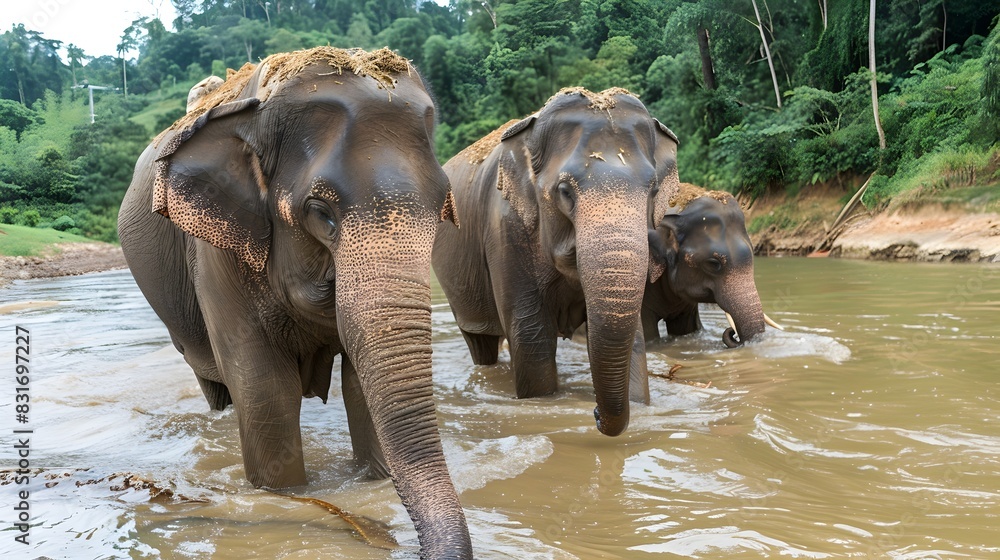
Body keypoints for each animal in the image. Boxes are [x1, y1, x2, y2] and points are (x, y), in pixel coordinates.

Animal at [117, 47, 471, 559]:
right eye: (320, 212)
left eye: (442, 202)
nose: (401, 545)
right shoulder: (214, 252)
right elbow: (266, 390)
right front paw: (285, 496)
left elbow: (360, 388)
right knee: (220, 391)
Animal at [433, 87, 681, 434]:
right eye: (564, 190)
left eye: (654, 189)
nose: (594, 413)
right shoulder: (505, 228)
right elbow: (531, 337)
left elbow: (632, 338)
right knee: (480, 343)